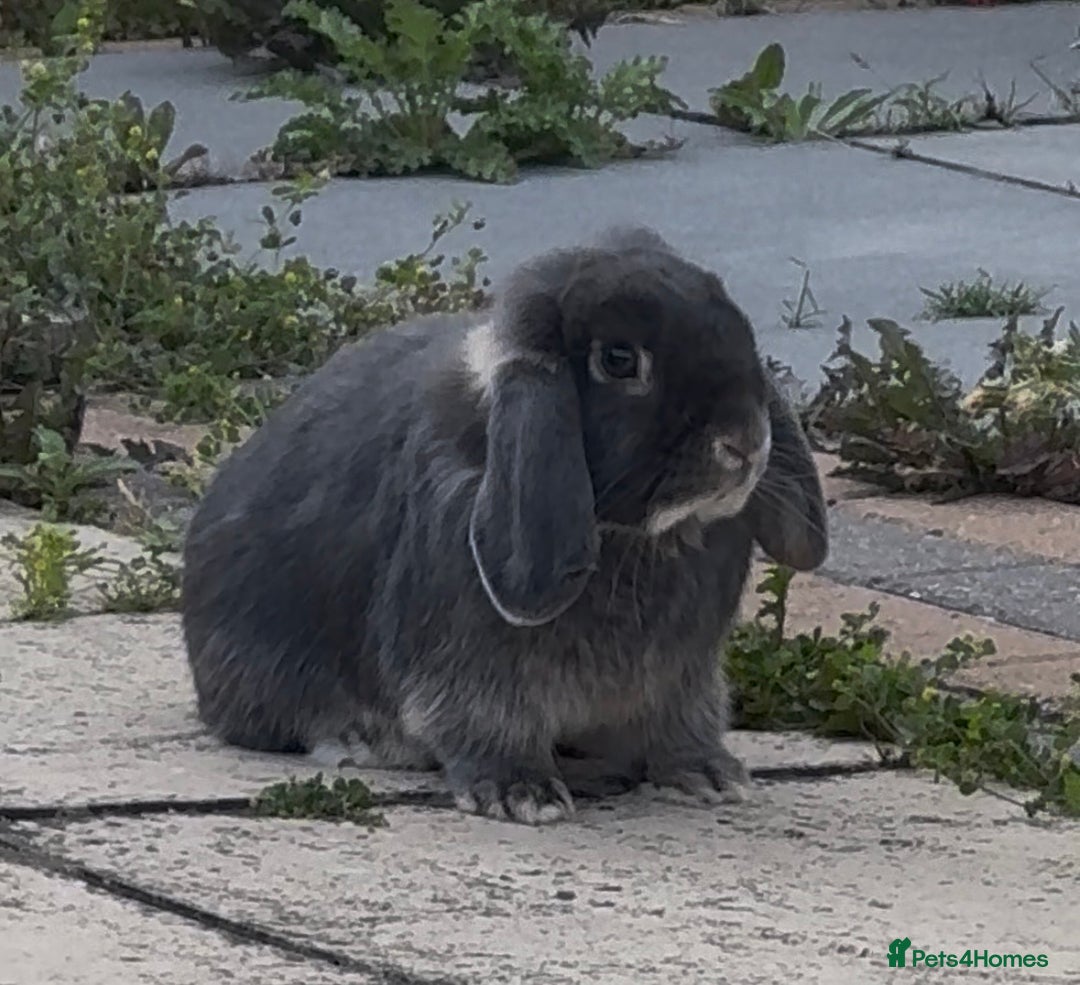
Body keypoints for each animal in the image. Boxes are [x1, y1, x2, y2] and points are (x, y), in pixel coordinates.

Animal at [181, 227, 828, 825]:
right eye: (619, 360)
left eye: (734, 318)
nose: (744, 443)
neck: (639, 537)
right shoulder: (470, 664)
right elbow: (486, 723)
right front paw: (522, 795)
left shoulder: (682, 677)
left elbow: (681, 722)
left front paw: (710, 775)